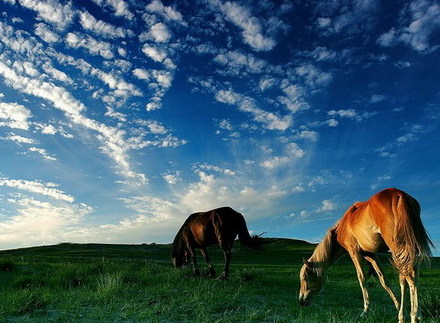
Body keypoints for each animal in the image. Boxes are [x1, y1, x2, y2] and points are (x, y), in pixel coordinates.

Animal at [300, 189, 434, 322]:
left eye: (305, 278)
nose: (301, 301)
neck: (342, 228)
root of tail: (400, 194)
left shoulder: (354, 252)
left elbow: (362, 278)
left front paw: (365, 311)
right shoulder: (370, 255)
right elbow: (383, 279)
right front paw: (397, 305)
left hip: (398, 247)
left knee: (408, 275)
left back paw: (413, 316)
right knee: (410, 274)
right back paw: (409, 313)